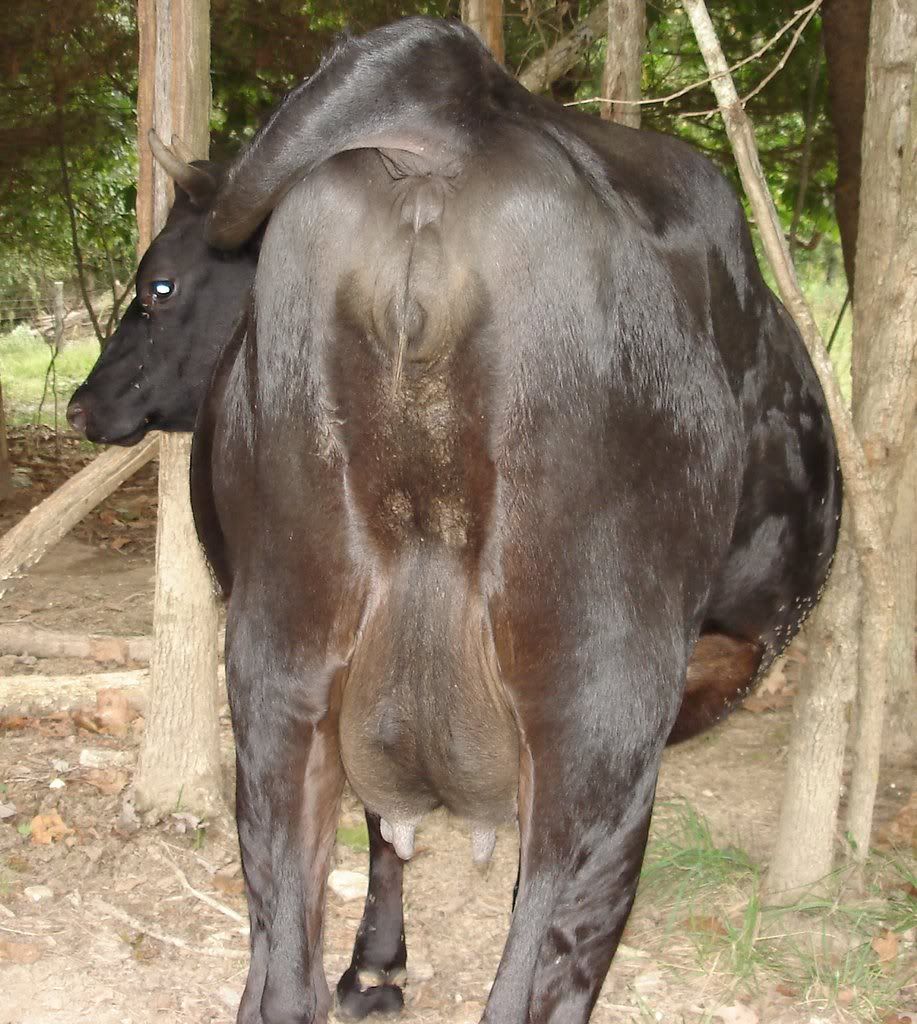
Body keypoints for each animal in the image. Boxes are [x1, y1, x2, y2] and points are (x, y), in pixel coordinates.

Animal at [69, 18, 841, 1024]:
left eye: (157, 285)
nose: (80, 405)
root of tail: (444, 113)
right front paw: (382, 964)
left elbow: (375, 830)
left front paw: (371, 966)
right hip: (602, 695)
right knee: (552, 949)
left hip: (281, 655)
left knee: (283, 948)